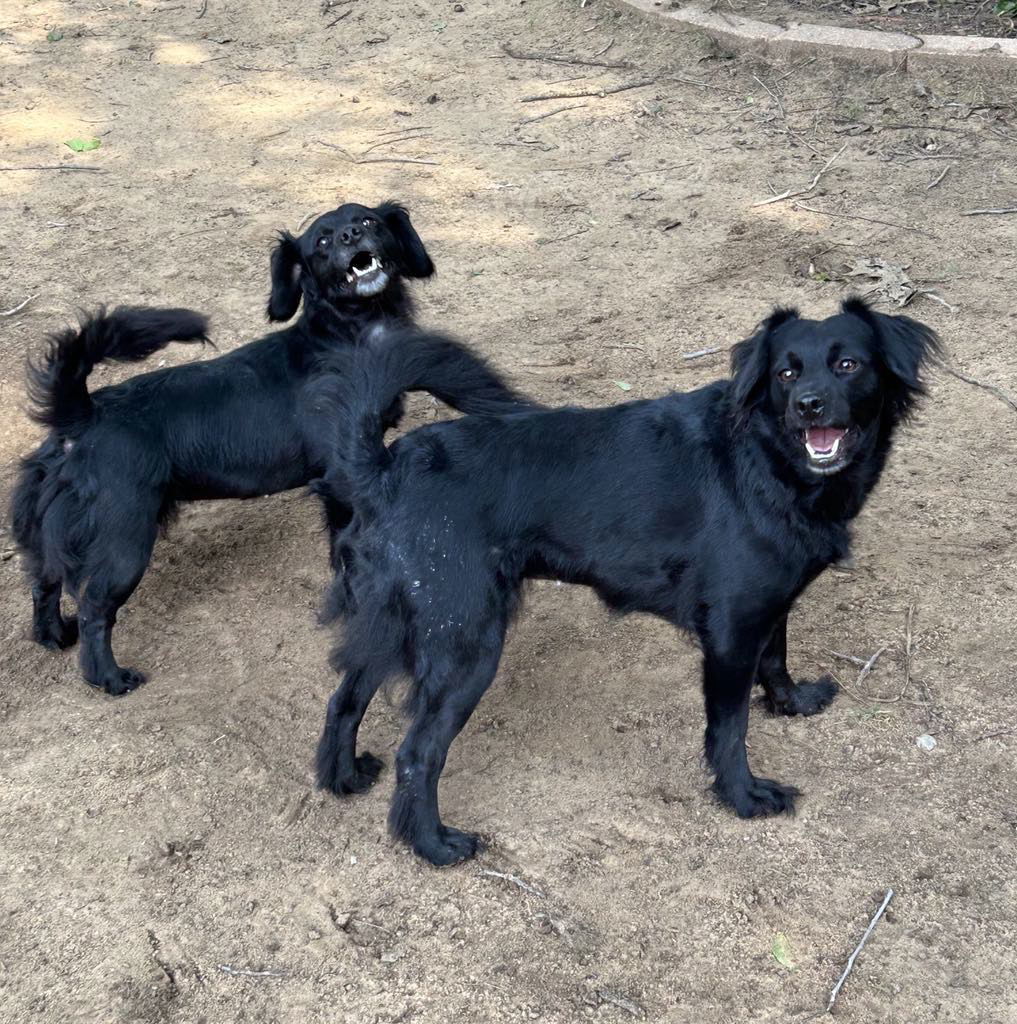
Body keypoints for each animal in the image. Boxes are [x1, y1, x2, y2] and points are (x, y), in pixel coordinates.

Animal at [9, 199, 532, 696]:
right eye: (321, 242)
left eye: (368, 220)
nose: (351, 234)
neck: (350, 332)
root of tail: (82, 411)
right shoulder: (339, 480)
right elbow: (345, 554)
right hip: (125, 541)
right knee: (94, 607)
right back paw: (108, 677)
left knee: (43, 580)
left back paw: (53, 635)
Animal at [313, 294, 942, 864]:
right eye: (786, 373)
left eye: (848, 364)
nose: (809, 406)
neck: (768, 459)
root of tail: (384, 469)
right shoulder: (732, 632)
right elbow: (729, 729)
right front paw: (743, 796)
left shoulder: (768, 607)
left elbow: (777, 659)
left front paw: (793, 704)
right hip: (466, 643)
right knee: (417, 754)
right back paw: (434, 845)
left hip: (395, 622)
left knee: (345, 697)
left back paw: (341, 776)